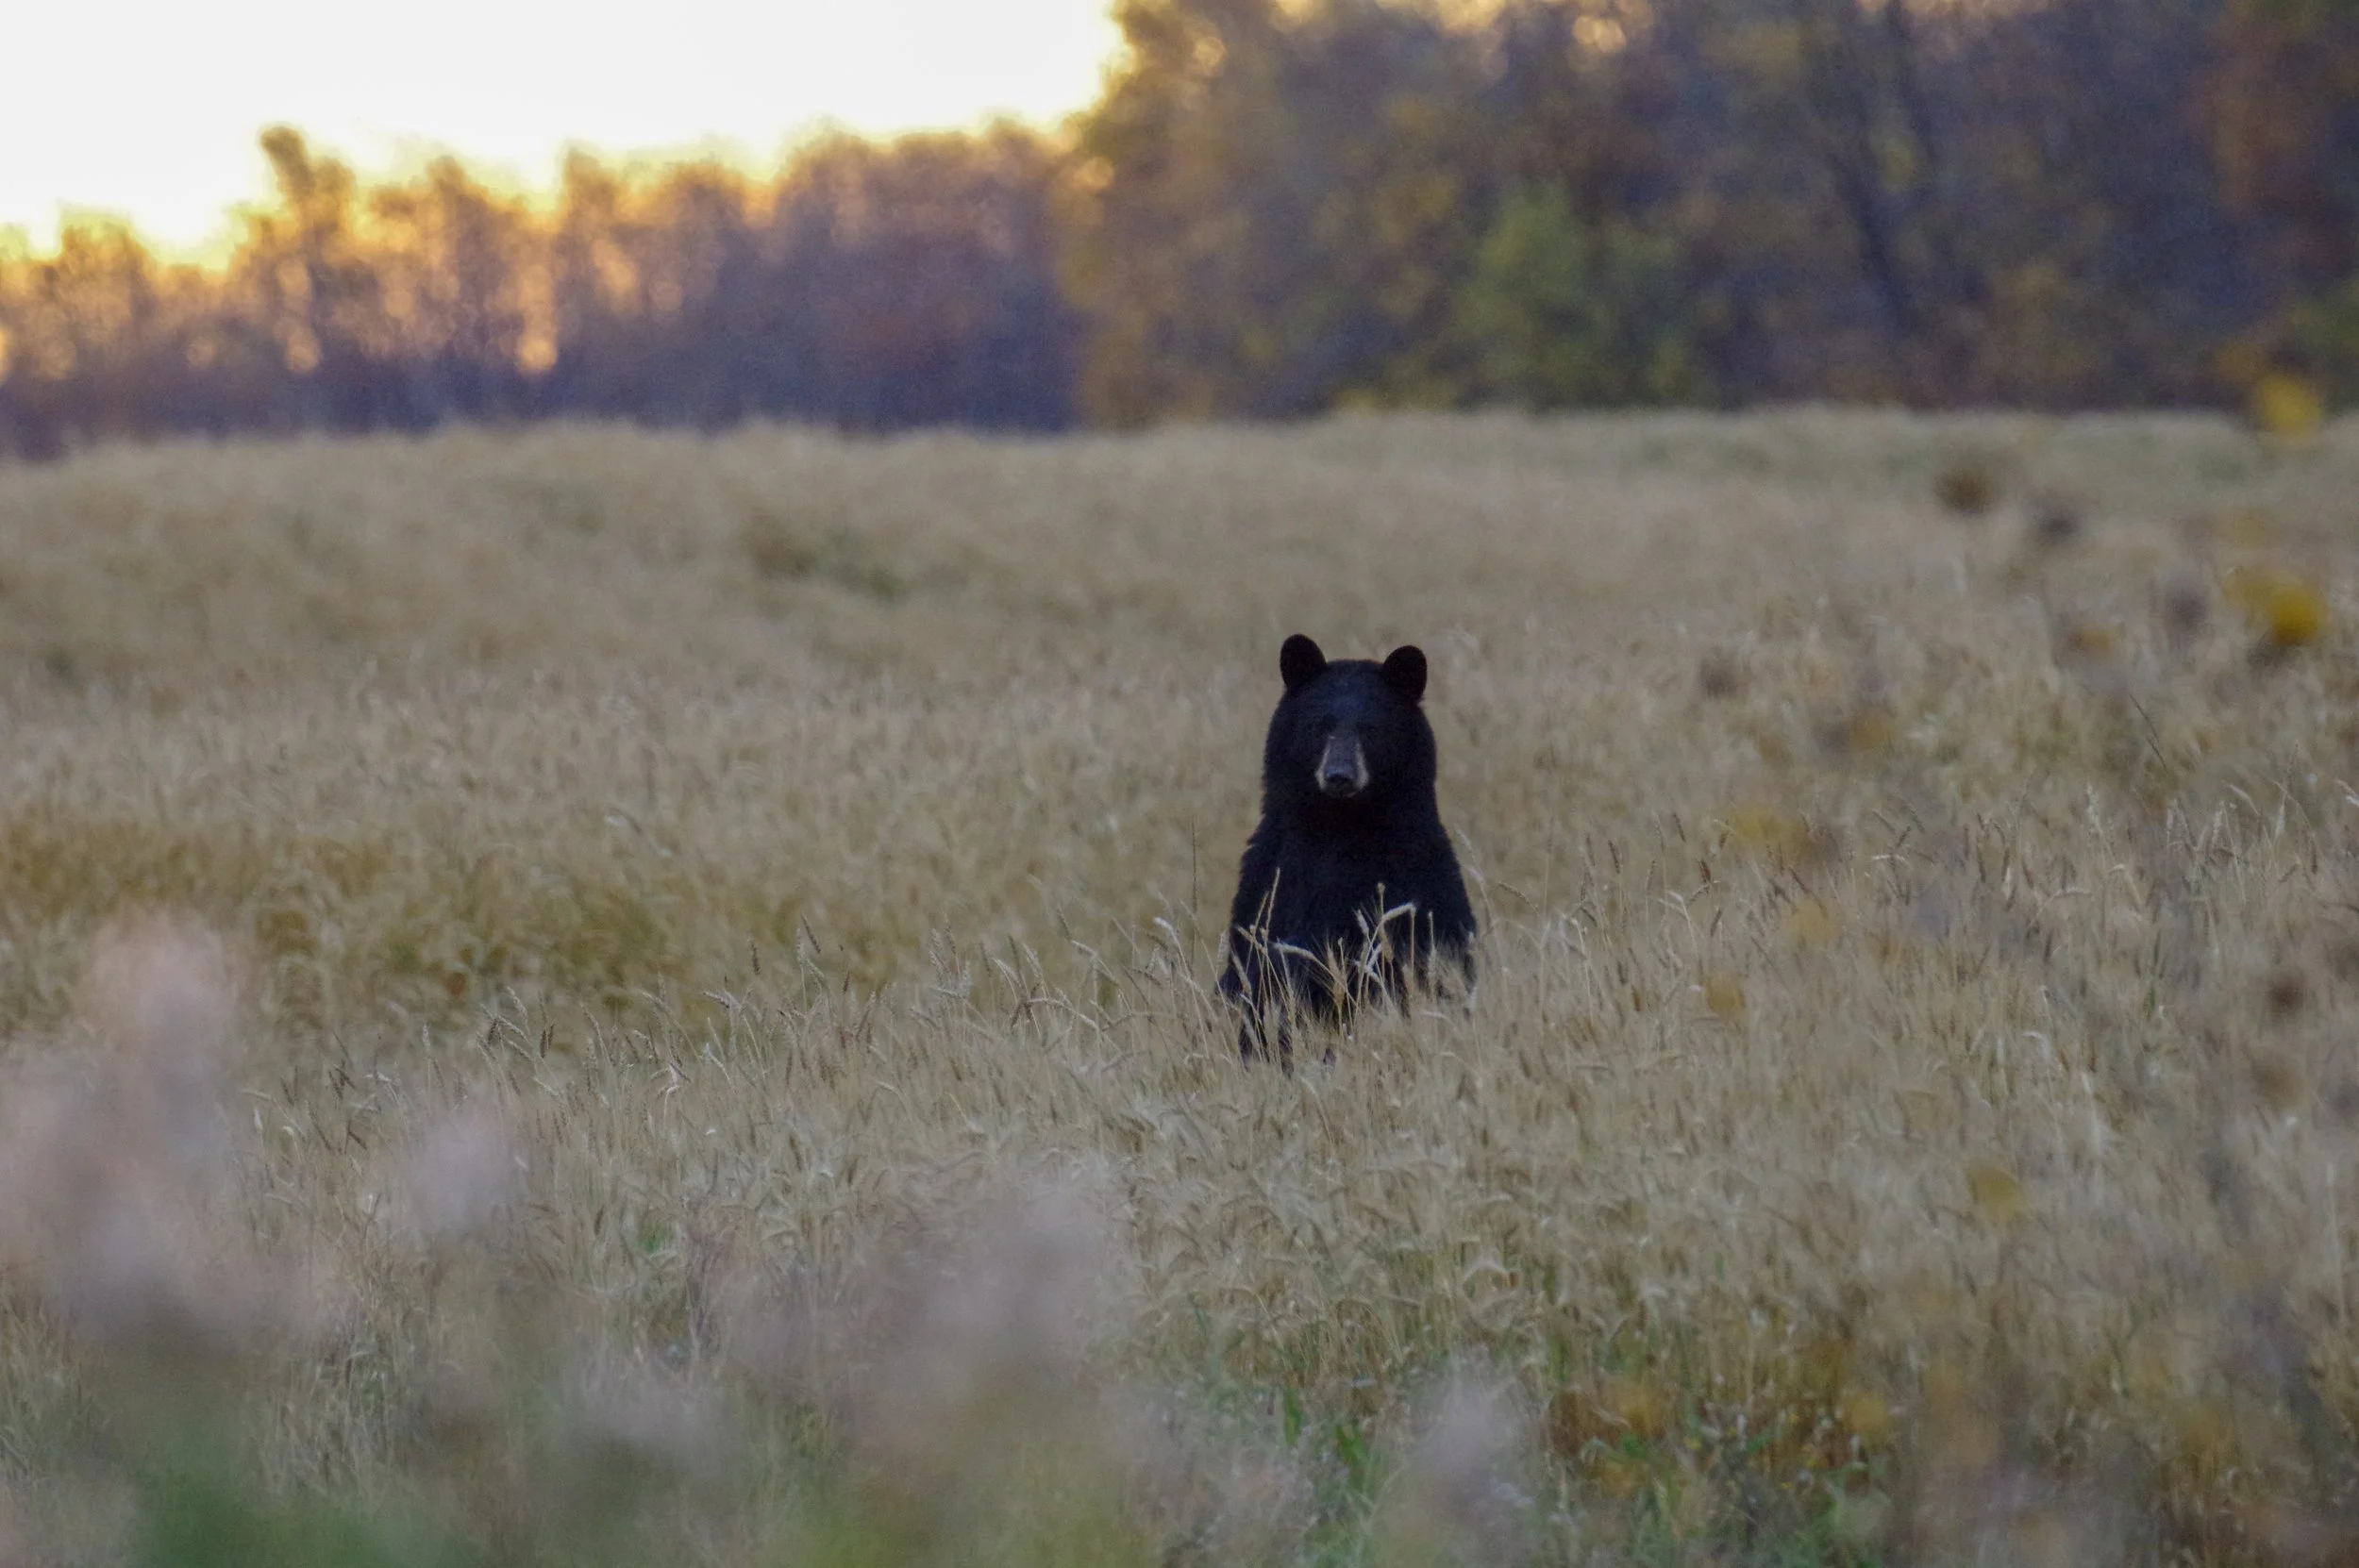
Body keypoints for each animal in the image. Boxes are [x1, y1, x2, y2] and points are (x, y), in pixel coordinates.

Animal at [1217, 633, 1477, 1065]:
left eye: (1370, 730)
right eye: (1320, 727)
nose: (1339, 775)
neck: (1339, 827)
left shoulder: (1408, 878)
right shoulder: (1267, 882)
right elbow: (1254, 962)